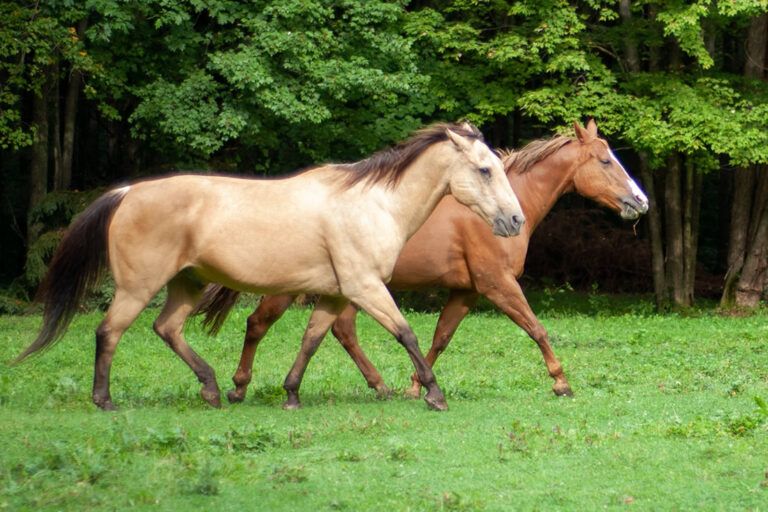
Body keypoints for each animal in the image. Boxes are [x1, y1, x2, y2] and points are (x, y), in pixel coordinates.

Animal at [14, 122, 525, 412]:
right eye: (484, 170)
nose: (515, 220)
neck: (372, 204)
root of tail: (126, 193)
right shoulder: (365, 288)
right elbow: (407, 335)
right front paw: (434, 395)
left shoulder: (335, 294)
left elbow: (311, 341)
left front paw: (292, 395)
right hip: (139, 288)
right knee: (109, 333)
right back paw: (105, 401)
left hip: (186, 285)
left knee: (167, 329)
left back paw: (214, 391)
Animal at [197, 120, 649, 402]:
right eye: (605, 161)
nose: (640, 201)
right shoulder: (497, 284)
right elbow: (536, 328)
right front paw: (561, 383)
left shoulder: (466, 293)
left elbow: (440, 339)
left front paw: (416, 386)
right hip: (295, 288)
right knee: (258, 324)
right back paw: (238, 386)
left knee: (340, 330)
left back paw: (379, 386)